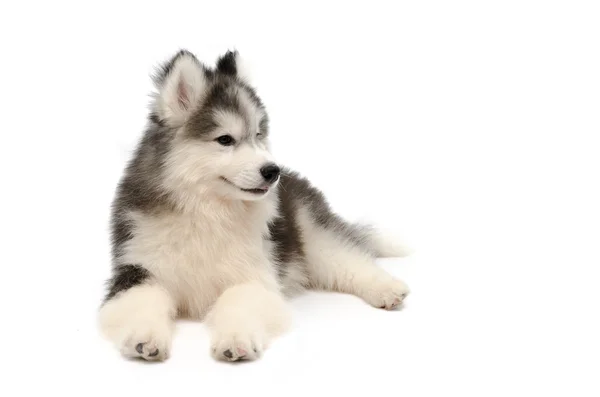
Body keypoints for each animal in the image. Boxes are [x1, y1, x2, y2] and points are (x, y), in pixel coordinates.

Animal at [99, 49, 408, 362]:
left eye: (259, 134)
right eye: (225, 139)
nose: (272, 171)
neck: (207, 210)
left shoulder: (253, 273)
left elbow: (236, 300)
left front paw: (236, 339)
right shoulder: (136, 269)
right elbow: (142, 301)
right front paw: (144, 337)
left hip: (314, 235)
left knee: (351, 259)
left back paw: (388, 289)